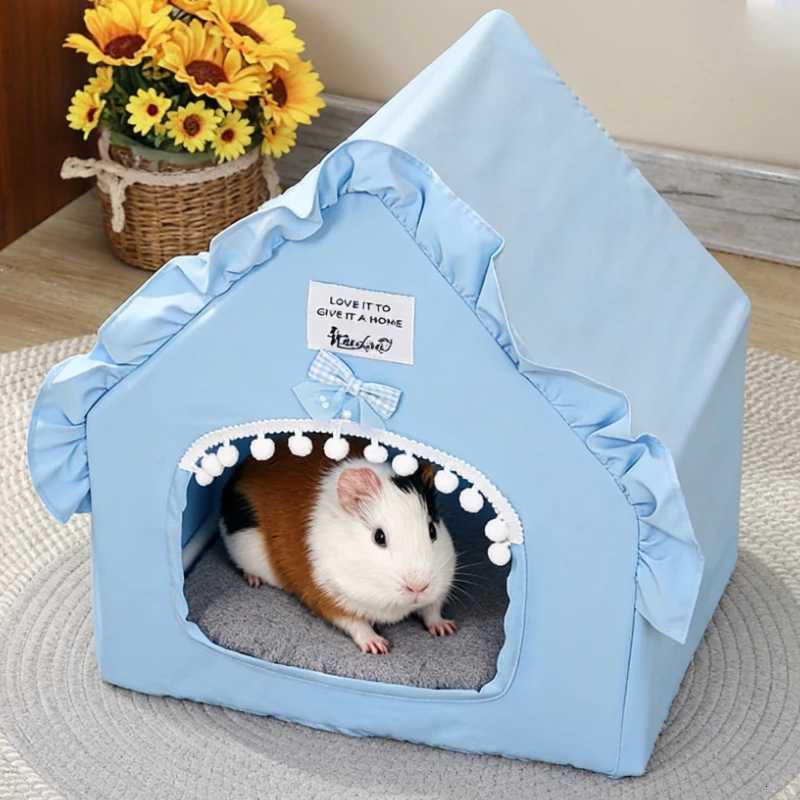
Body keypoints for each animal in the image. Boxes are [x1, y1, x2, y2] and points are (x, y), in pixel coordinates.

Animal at [220, 434, 457, 654]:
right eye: (379, 537)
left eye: (432, 530)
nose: (418, 587)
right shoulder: (326, 594)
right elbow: (355, 623)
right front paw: (378, 646)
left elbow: (432, 610)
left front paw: (446, 629)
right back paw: (254, 581)